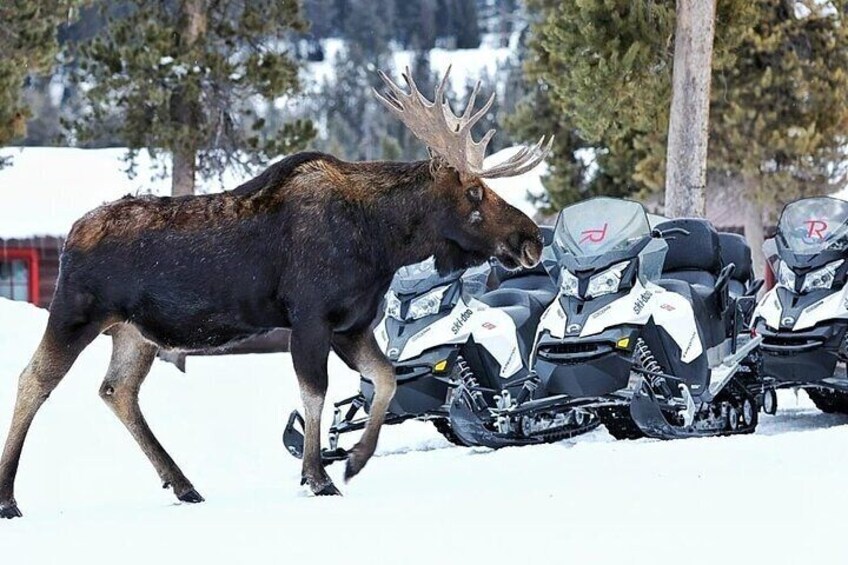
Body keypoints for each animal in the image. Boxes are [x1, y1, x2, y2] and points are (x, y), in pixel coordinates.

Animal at [0, 66, 548, 516]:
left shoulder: (351, 325)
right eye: (474, 193)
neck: (382, 241)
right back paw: (9, 498)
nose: (531, 239)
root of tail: (70, 235)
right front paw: (318, 476)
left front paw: (356, 459)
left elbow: (385, 379)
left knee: (117, 390)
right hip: (75, 311)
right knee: (34, 379)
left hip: (134, 333)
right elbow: (316, 394)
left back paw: (183, 484)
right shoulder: (309, 317)